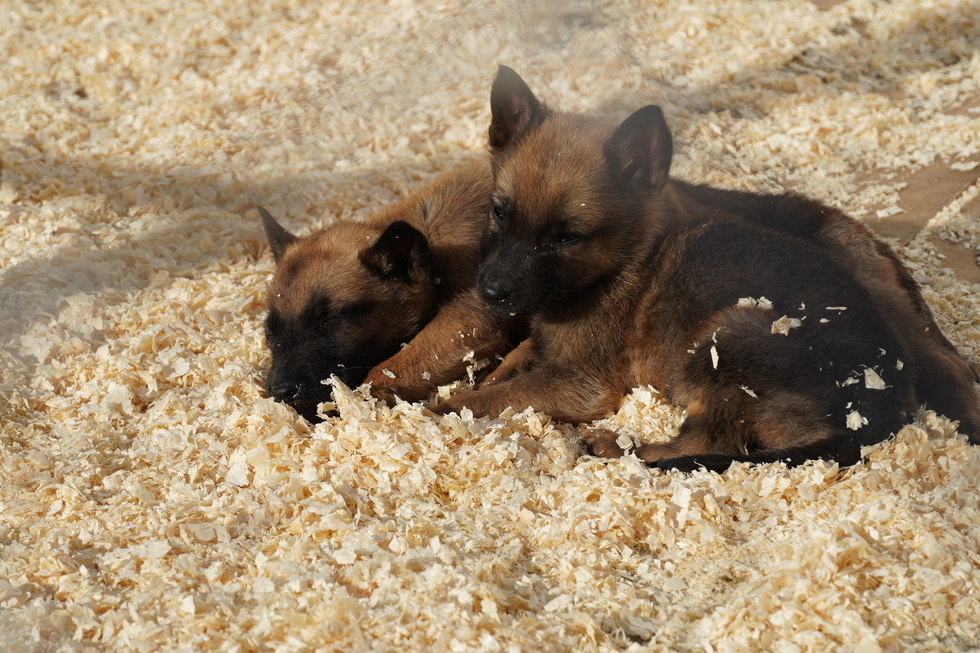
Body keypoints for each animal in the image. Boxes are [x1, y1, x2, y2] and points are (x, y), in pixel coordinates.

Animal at [264, 160, 516, 420]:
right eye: (269, 334)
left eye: (331, 320)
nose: (280, 392)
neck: (434, 257)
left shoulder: (469, 323)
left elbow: (384, 373)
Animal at [436, 69, 980, 472]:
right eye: (498, 212)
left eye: (566, 237)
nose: (491, 292)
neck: (623, 263)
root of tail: (879, 414)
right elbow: (513, 362)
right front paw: (484, 377)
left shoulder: (580, 382)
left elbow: (499, 396)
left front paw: (442, 405)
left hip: (729, 338)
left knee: (708, 443)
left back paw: (620, 448)